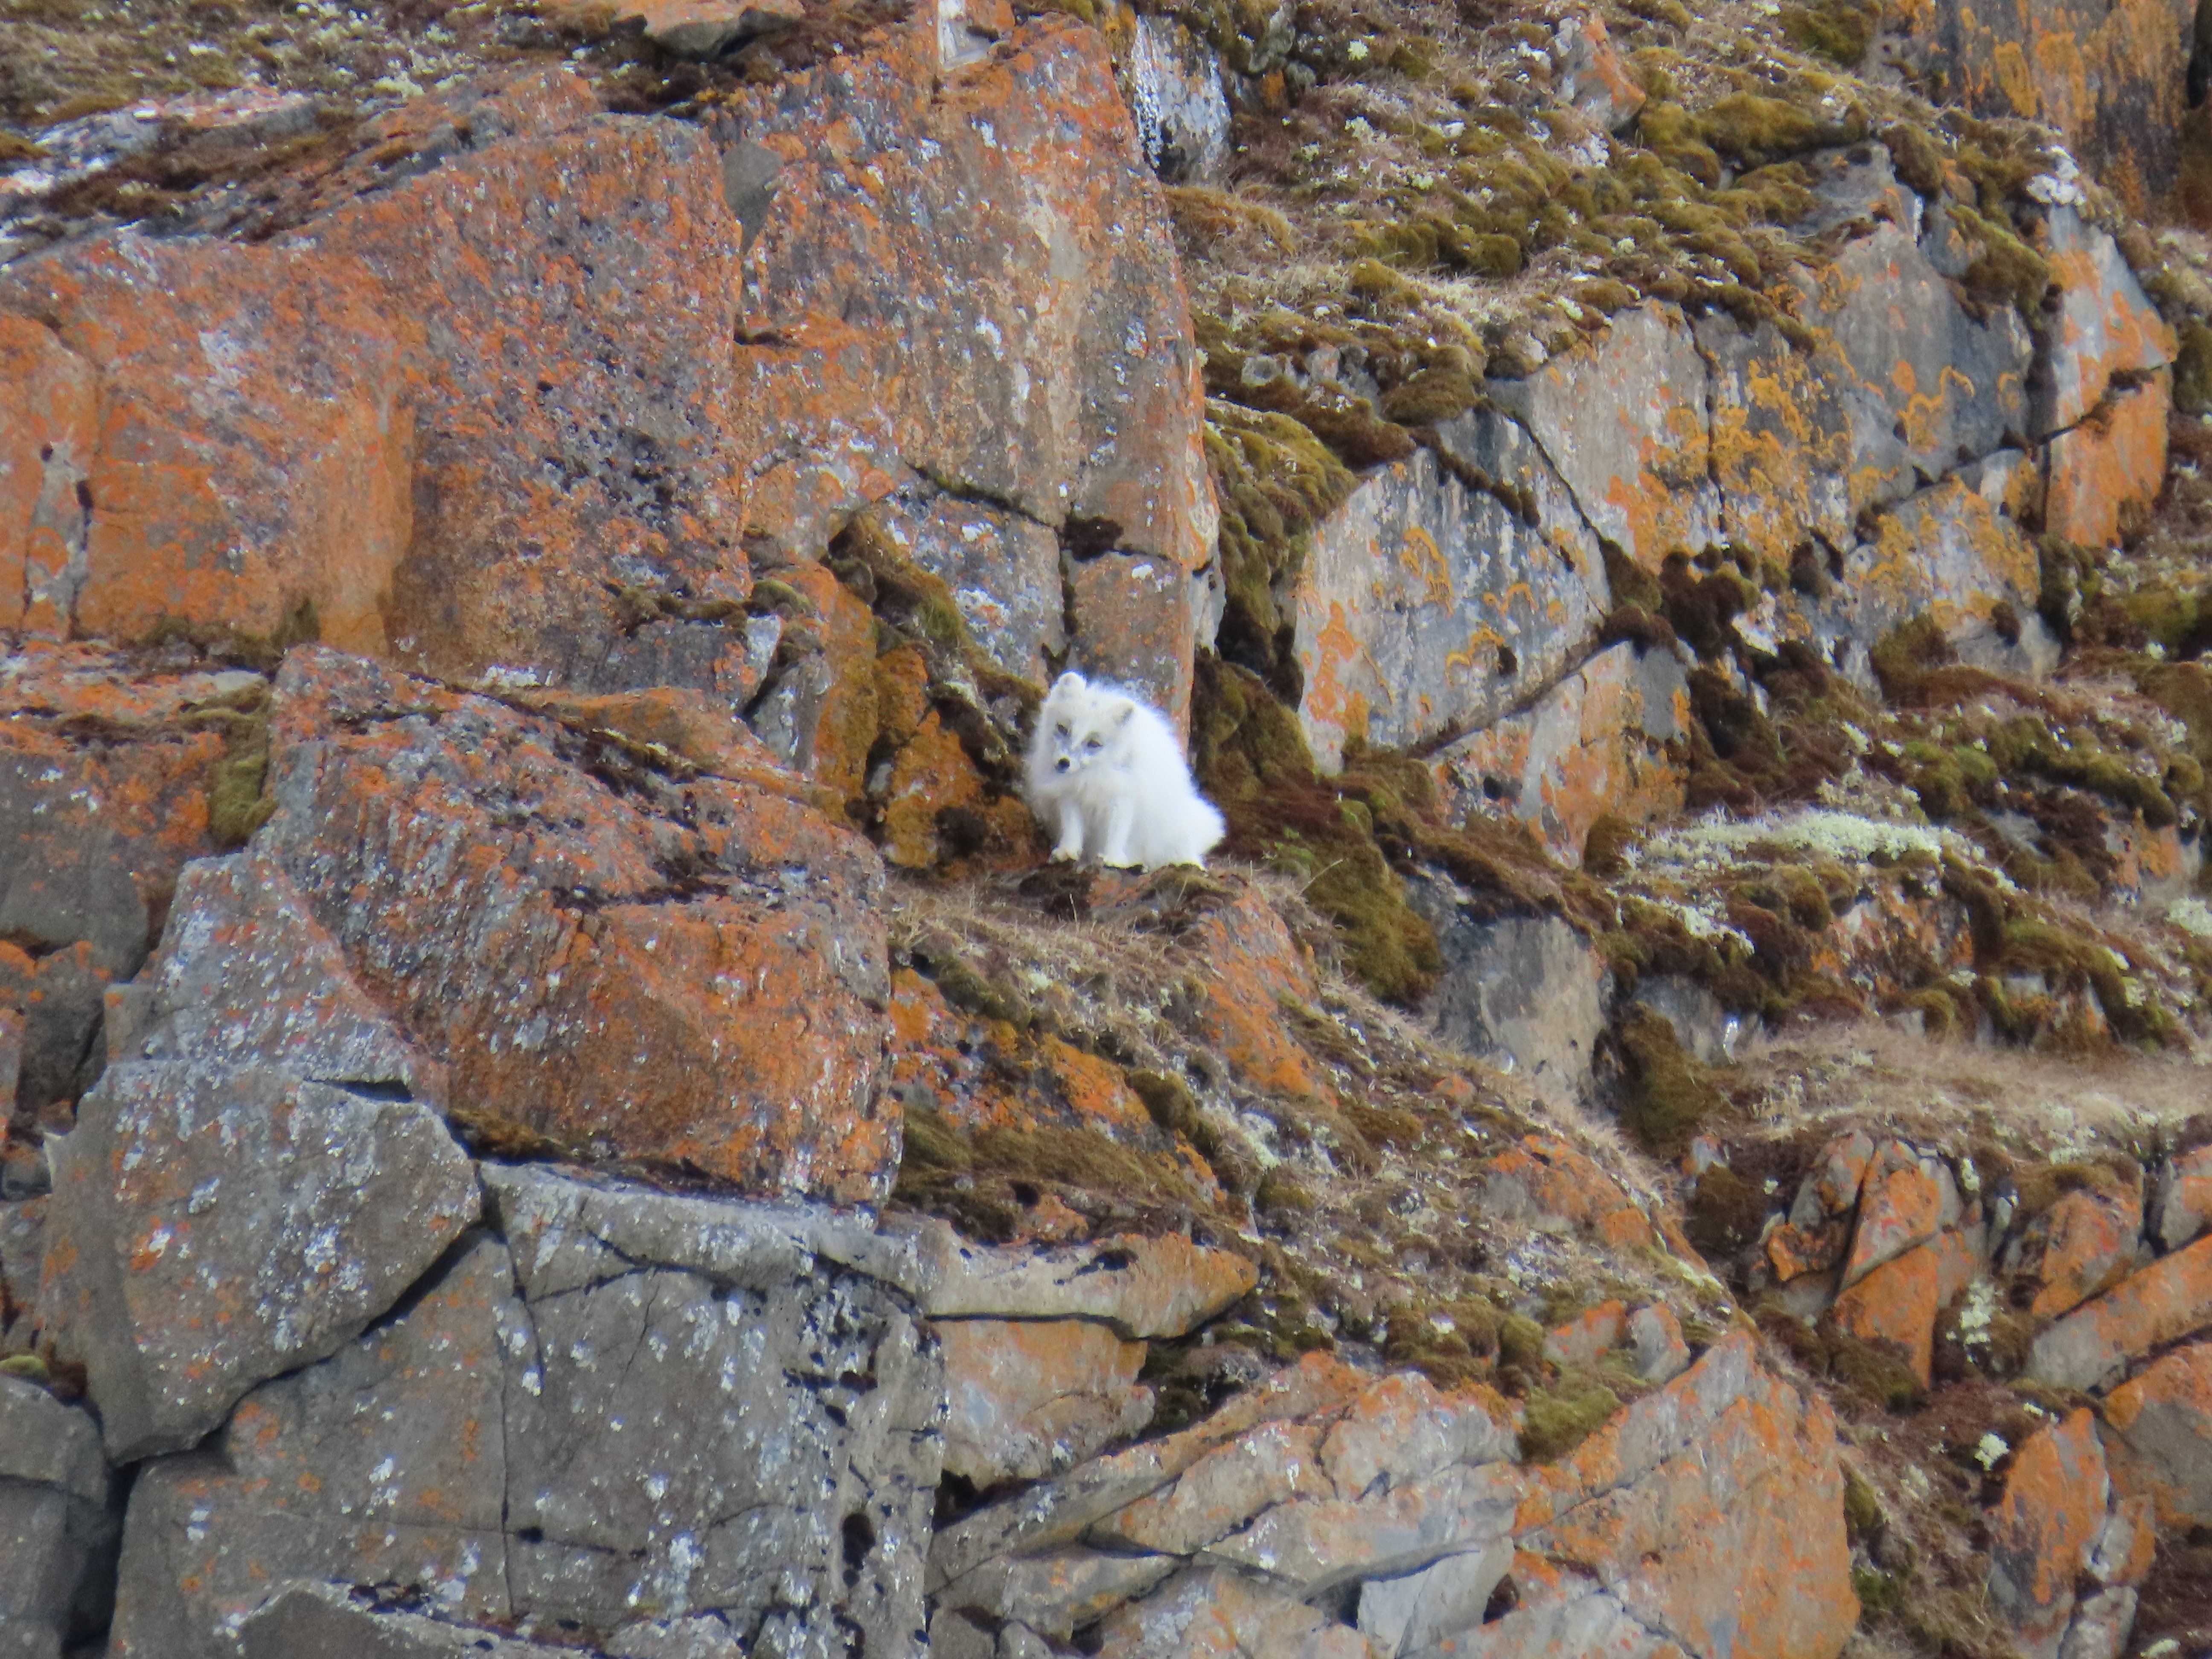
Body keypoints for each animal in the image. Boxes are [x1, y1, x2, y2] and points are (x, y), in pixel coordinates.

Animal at [1024, 671, 1226, 871]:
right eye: (1062, 729)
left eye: (1094, 744)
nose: (1063, 763)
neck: (1092, 777)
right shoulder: (1069, 796)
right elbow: (1072, 828)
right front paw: (1067, 852)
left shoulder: (1123, 799)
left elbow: (1117, 833)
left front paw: (1112, 859)